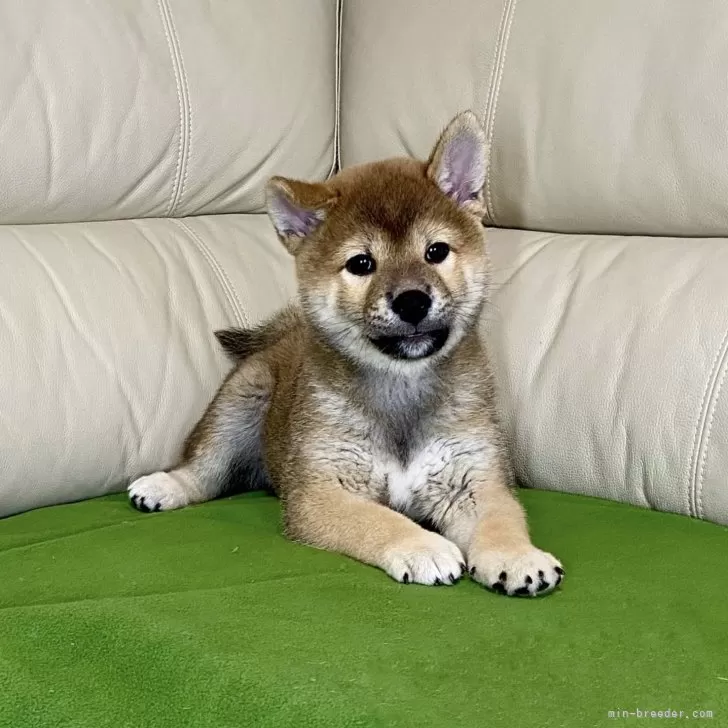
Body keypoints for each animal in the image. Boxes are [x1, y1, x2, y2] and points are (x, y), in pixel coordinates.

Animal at [129, 111, 564, 596]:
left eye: (436, 252)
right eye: (361, 264)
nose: (412, 301)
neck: (400, 389)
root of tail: (289, 332)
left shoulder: (474, 481)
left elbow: (501, 521)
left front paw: (517, 556)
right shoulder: (324, 491)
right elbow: (381, 521)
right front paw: (425, 547)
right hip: (239, 403)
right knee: (205, 471)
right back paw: (165, 486)